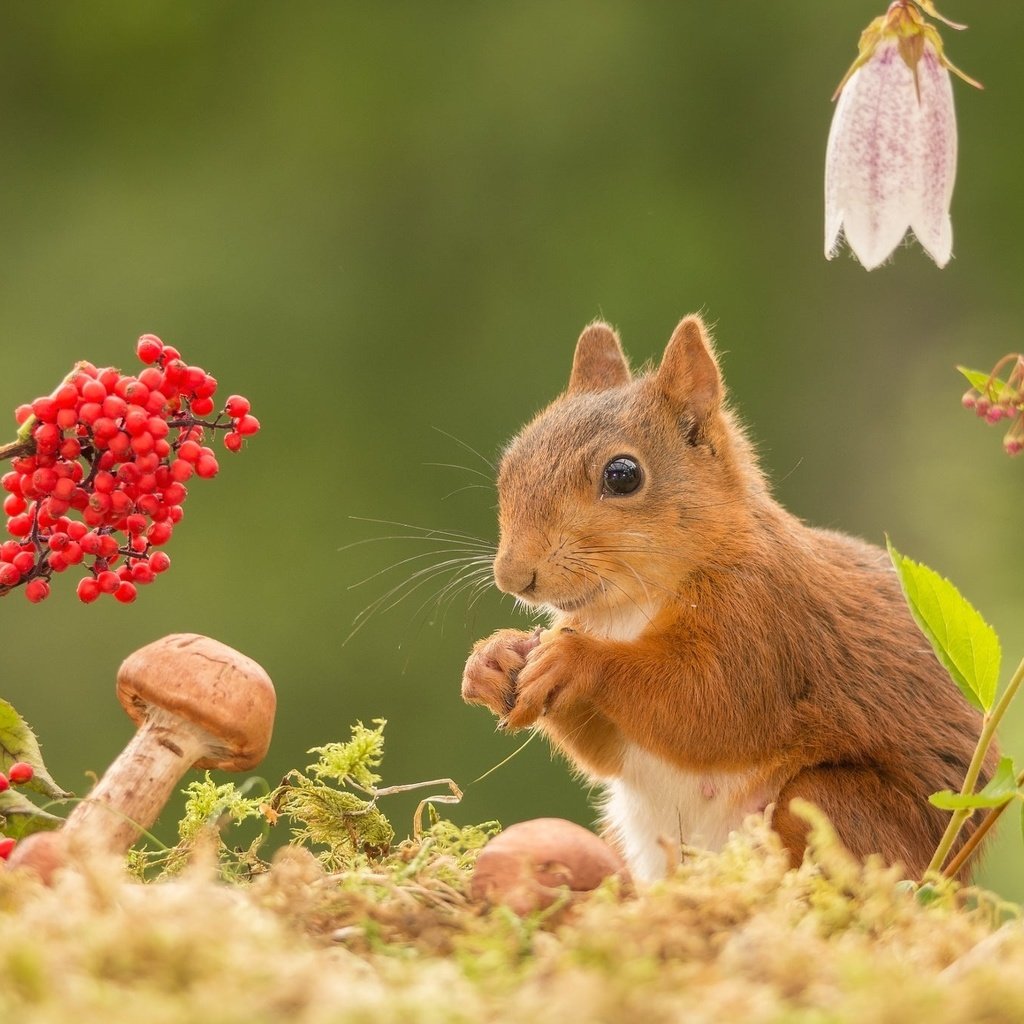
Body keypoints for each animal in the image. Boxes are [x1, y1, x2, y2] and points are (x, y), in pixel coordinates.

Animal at [462, 317, 991, 880]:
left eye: (623, 475)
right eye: (511, 465)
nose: (513, 576)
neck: (627, 610)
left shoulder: (764, 619)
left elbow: (712, 707)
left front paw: (573, 659)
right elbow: (608, 753)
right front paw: (492, 659)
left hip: (838, 807)